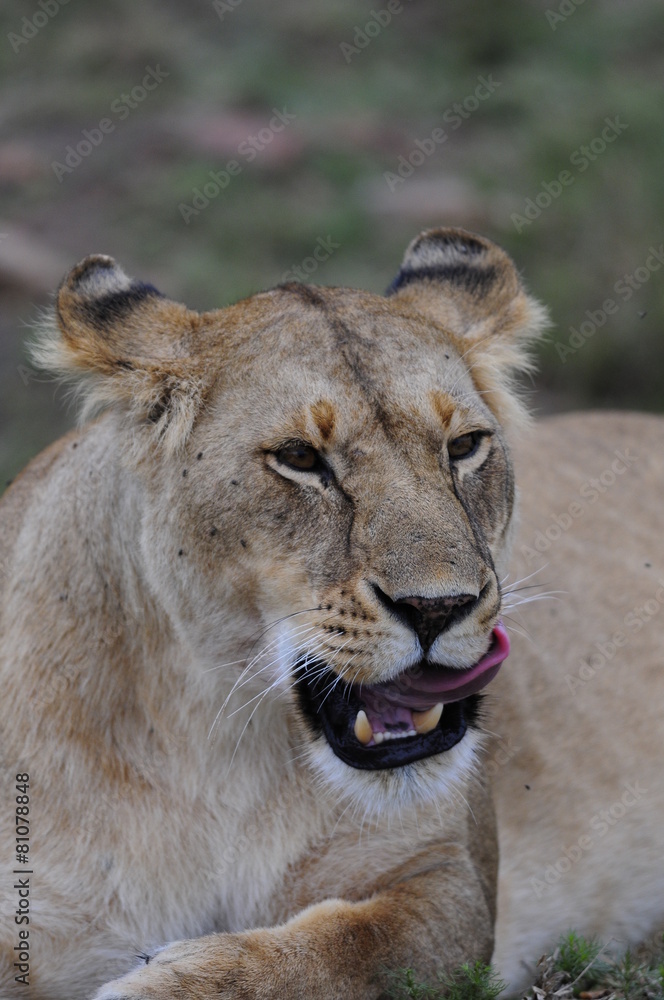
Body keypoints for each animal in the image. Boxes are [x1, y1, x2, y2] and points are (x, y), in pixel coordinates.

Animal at [0, 227, 662, 1000]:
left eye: (465, 446)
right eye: (299, 458)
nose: (439, 606)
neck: (215, 739)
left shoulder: (451, 884)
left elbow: (340, 951)